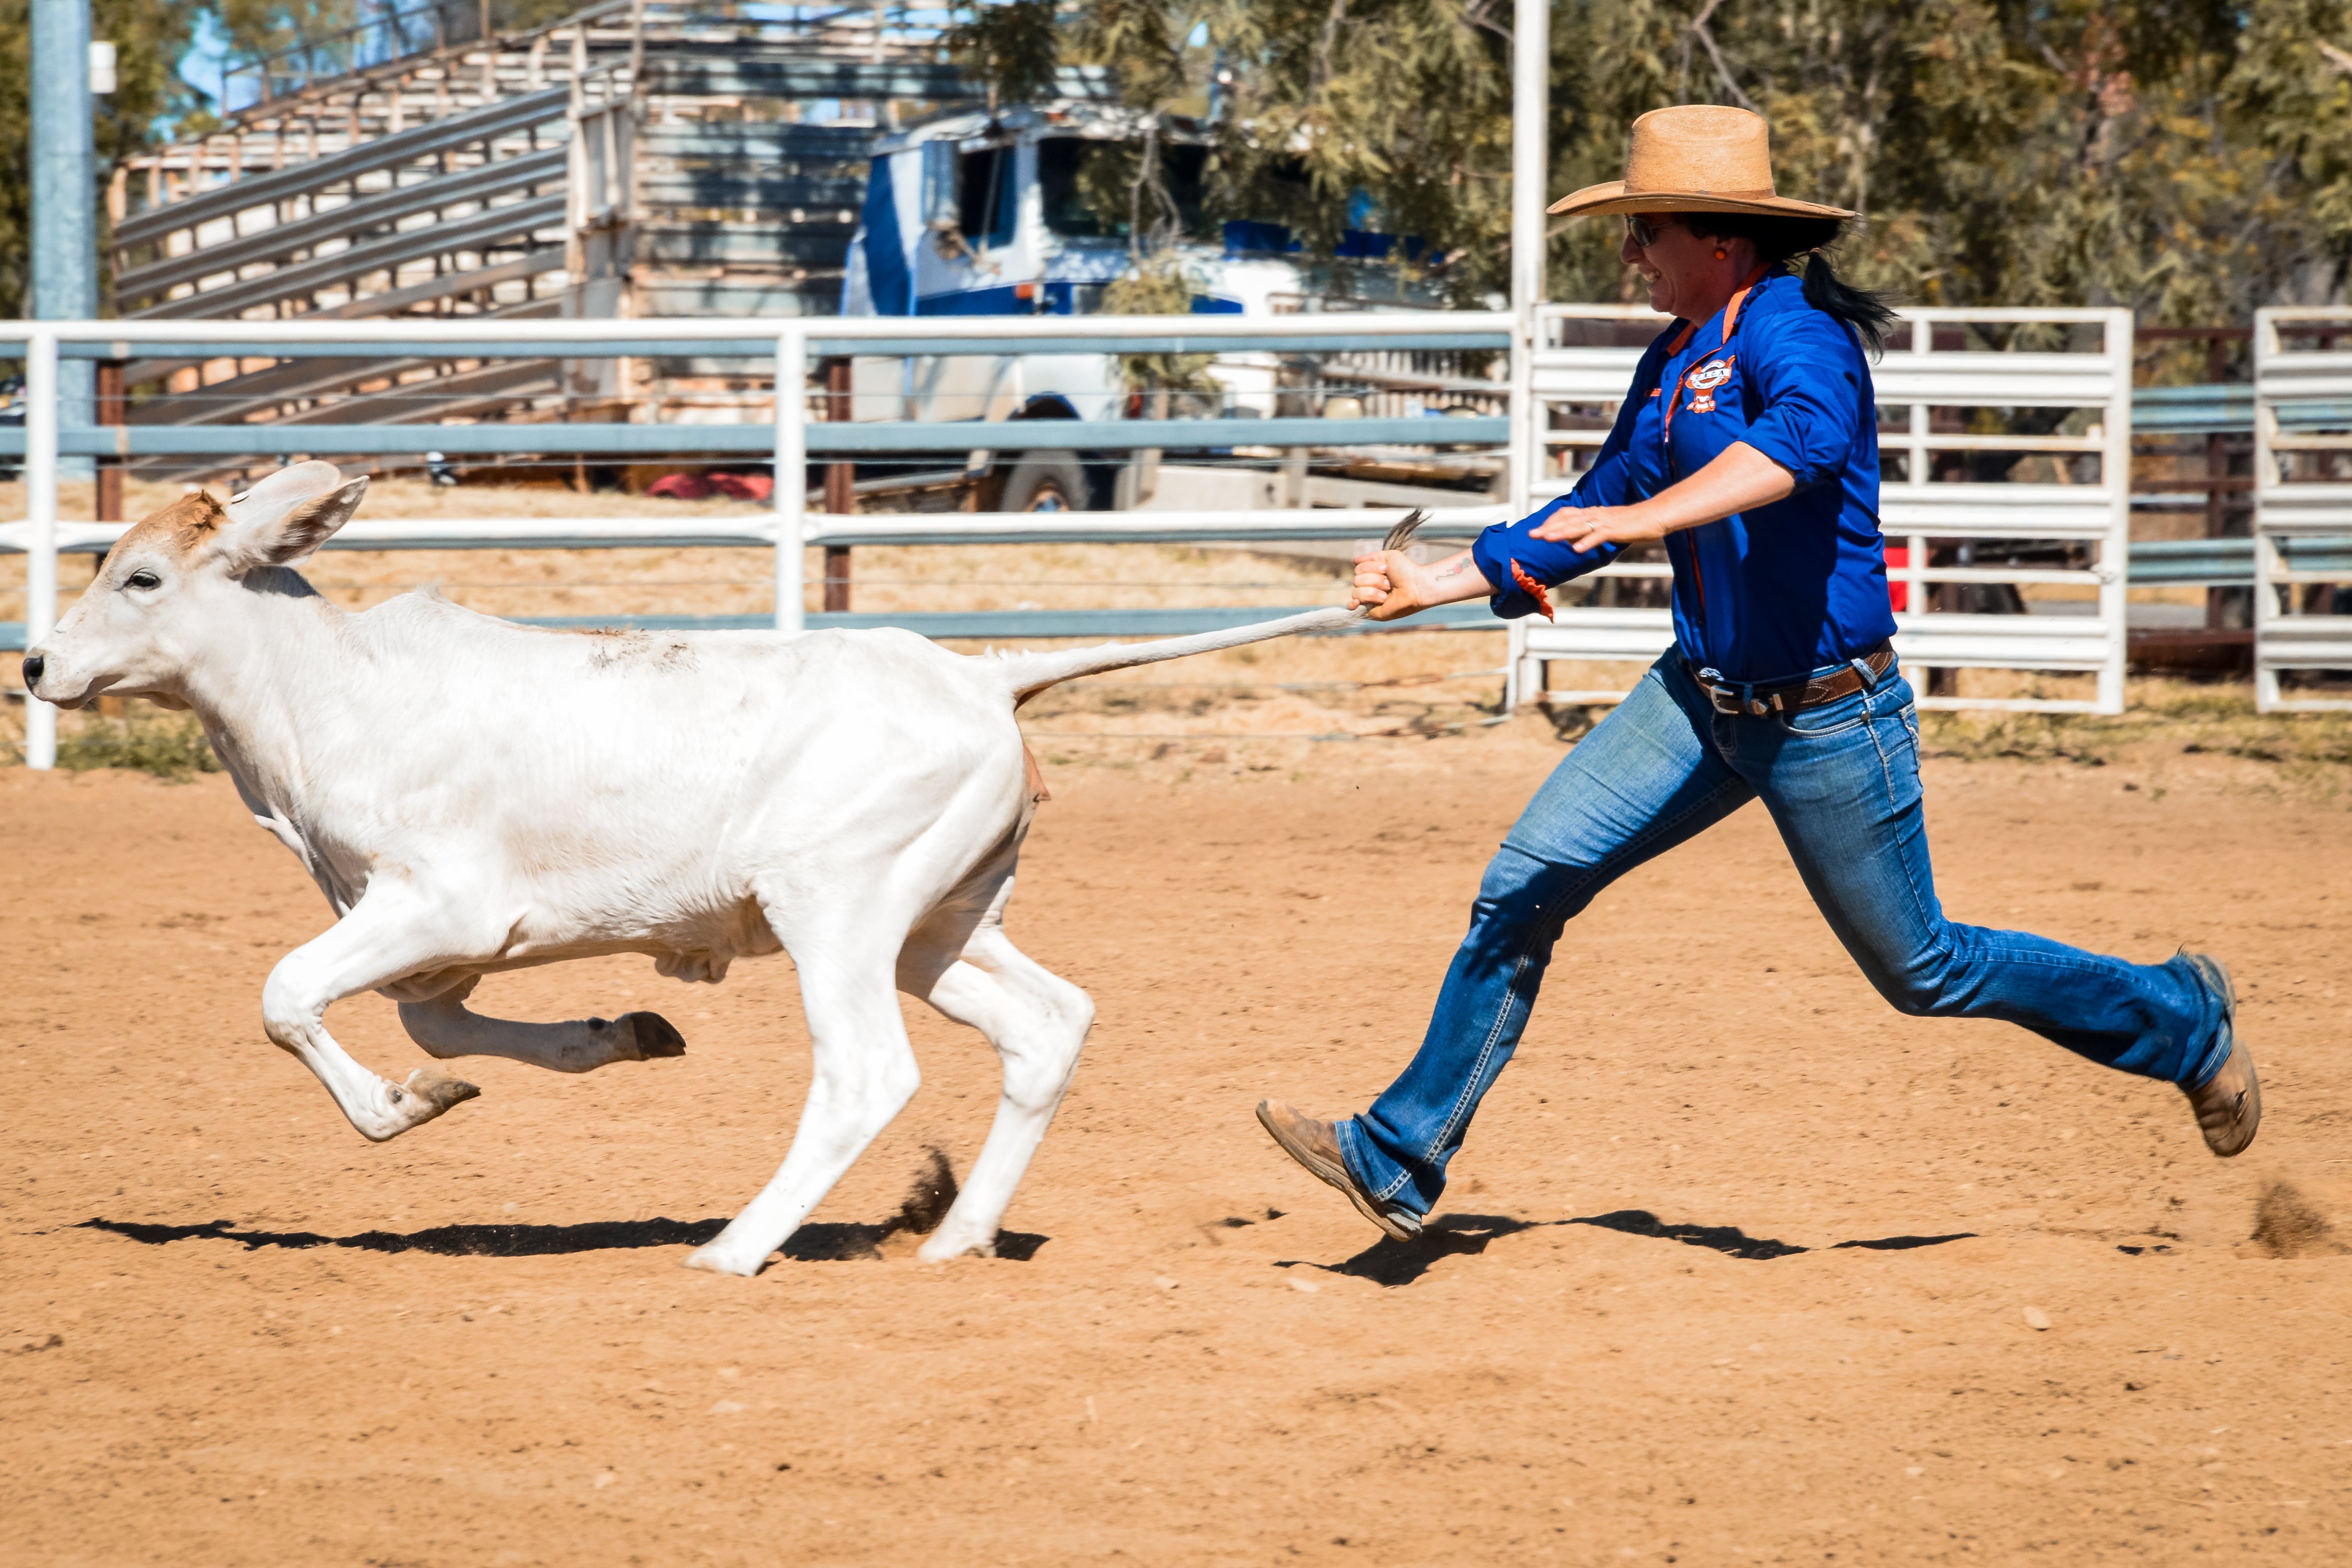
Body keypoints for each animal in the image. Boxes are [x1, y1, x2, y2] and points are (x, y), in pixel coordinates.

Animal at [23, 465, 1392, 1279]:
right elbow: (441, 1025)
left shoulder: (435, 902)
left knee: (867, 1073)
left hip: (838, 912)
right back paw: (952, 1238)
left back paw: (735, 1248)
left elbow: (289, 996)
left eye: (140, 576)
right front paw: (617, 1034)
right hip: (937, 927)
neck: (334, 692)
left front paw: (400, 1108)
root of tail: (980, 672)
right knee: (1049, 1024)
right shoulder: (443, 938)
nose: (35, 664)